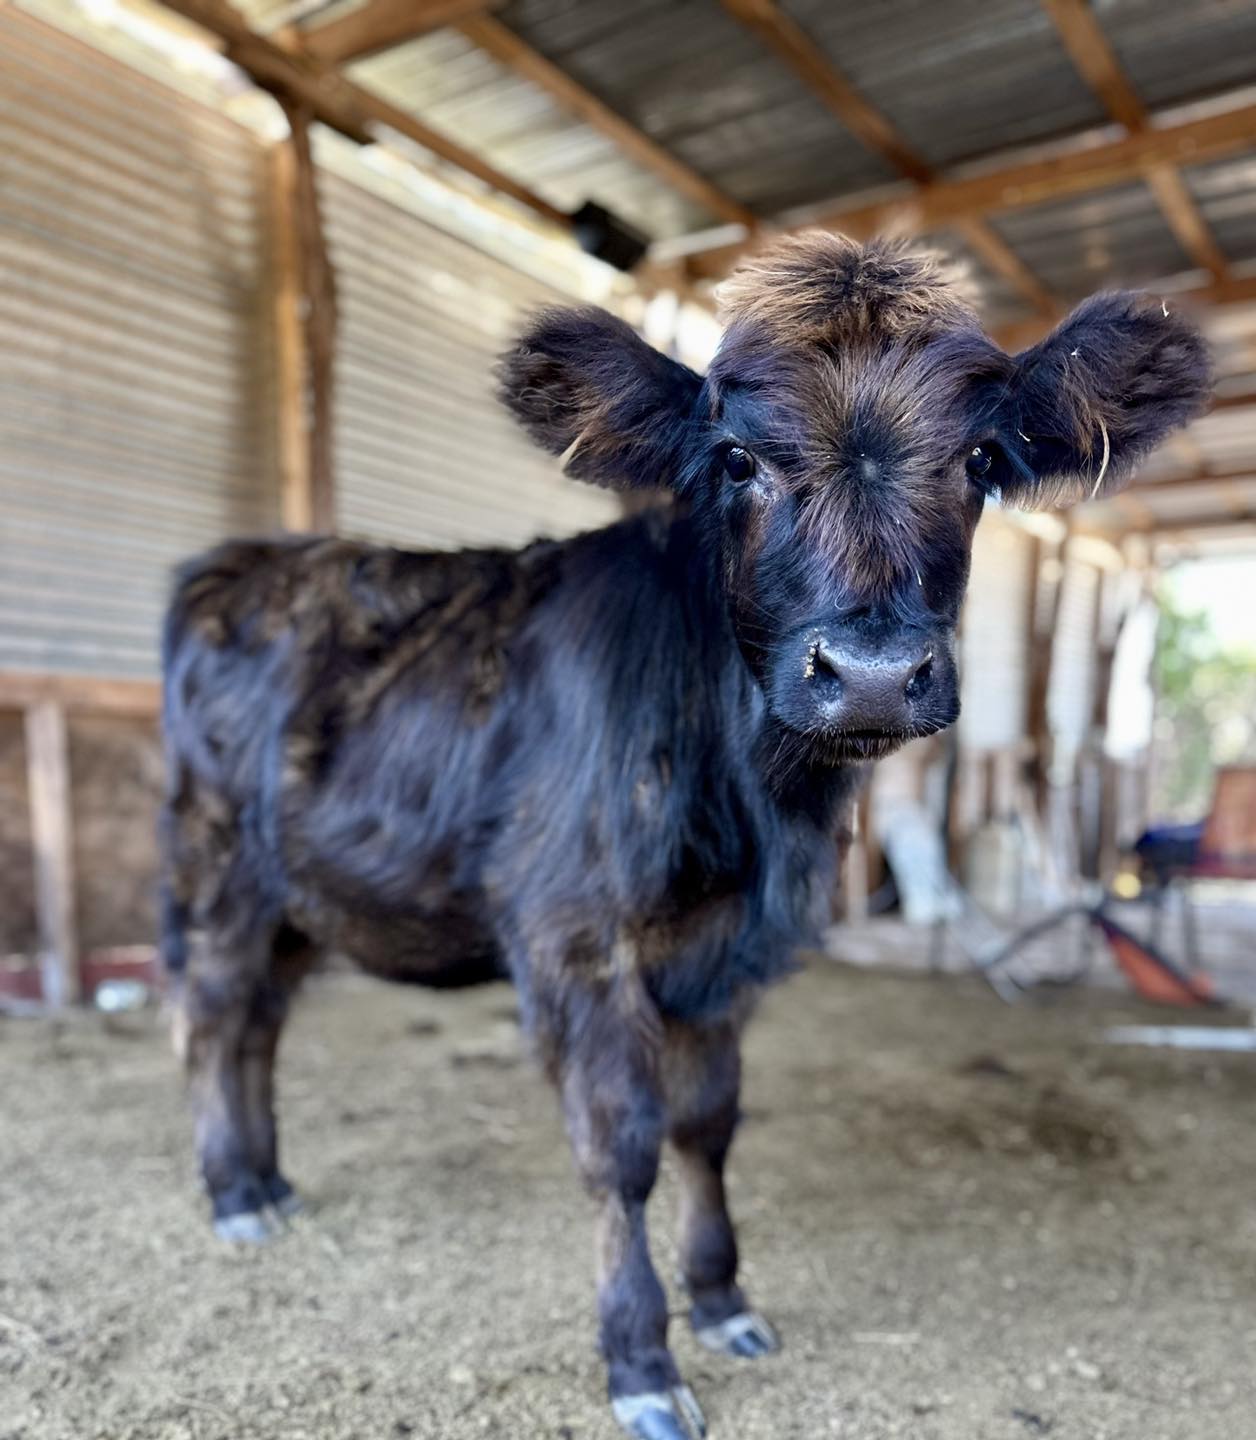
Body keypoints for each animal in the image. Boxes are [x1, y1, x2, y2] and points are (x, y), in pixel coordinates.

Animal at [159, 233, 1209, 1440]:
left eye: (981, 458)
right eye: (738, 461)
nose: (870, 676)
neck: (747, 807)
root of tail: (241, 562)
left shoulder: (729, 948)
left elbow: (708, 1124)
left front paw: (722, 1301)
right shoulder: (575, 936)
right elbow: (620, 1146)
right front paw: (640, 1360)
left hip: (298, 896)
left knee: (260, 1022)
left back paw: (269, 1181)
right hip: (215, 865)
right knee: (212, 1017)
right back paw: (232, 1193)